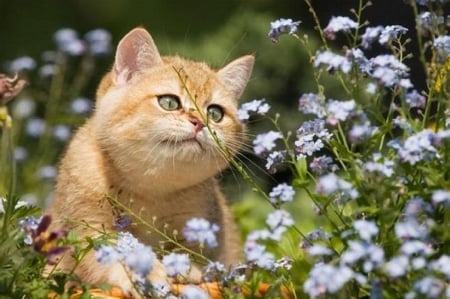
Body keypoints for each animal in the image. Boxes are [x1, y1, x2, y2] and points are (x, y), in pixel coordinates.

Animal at [48, 27, 255, 298]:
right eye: (169, 102)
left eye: (215, 113)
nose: (200, 122)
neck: (150, 190)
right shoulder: (87, 226)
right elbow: (108, 255)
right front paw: (143, 272)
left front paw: (185, 270)